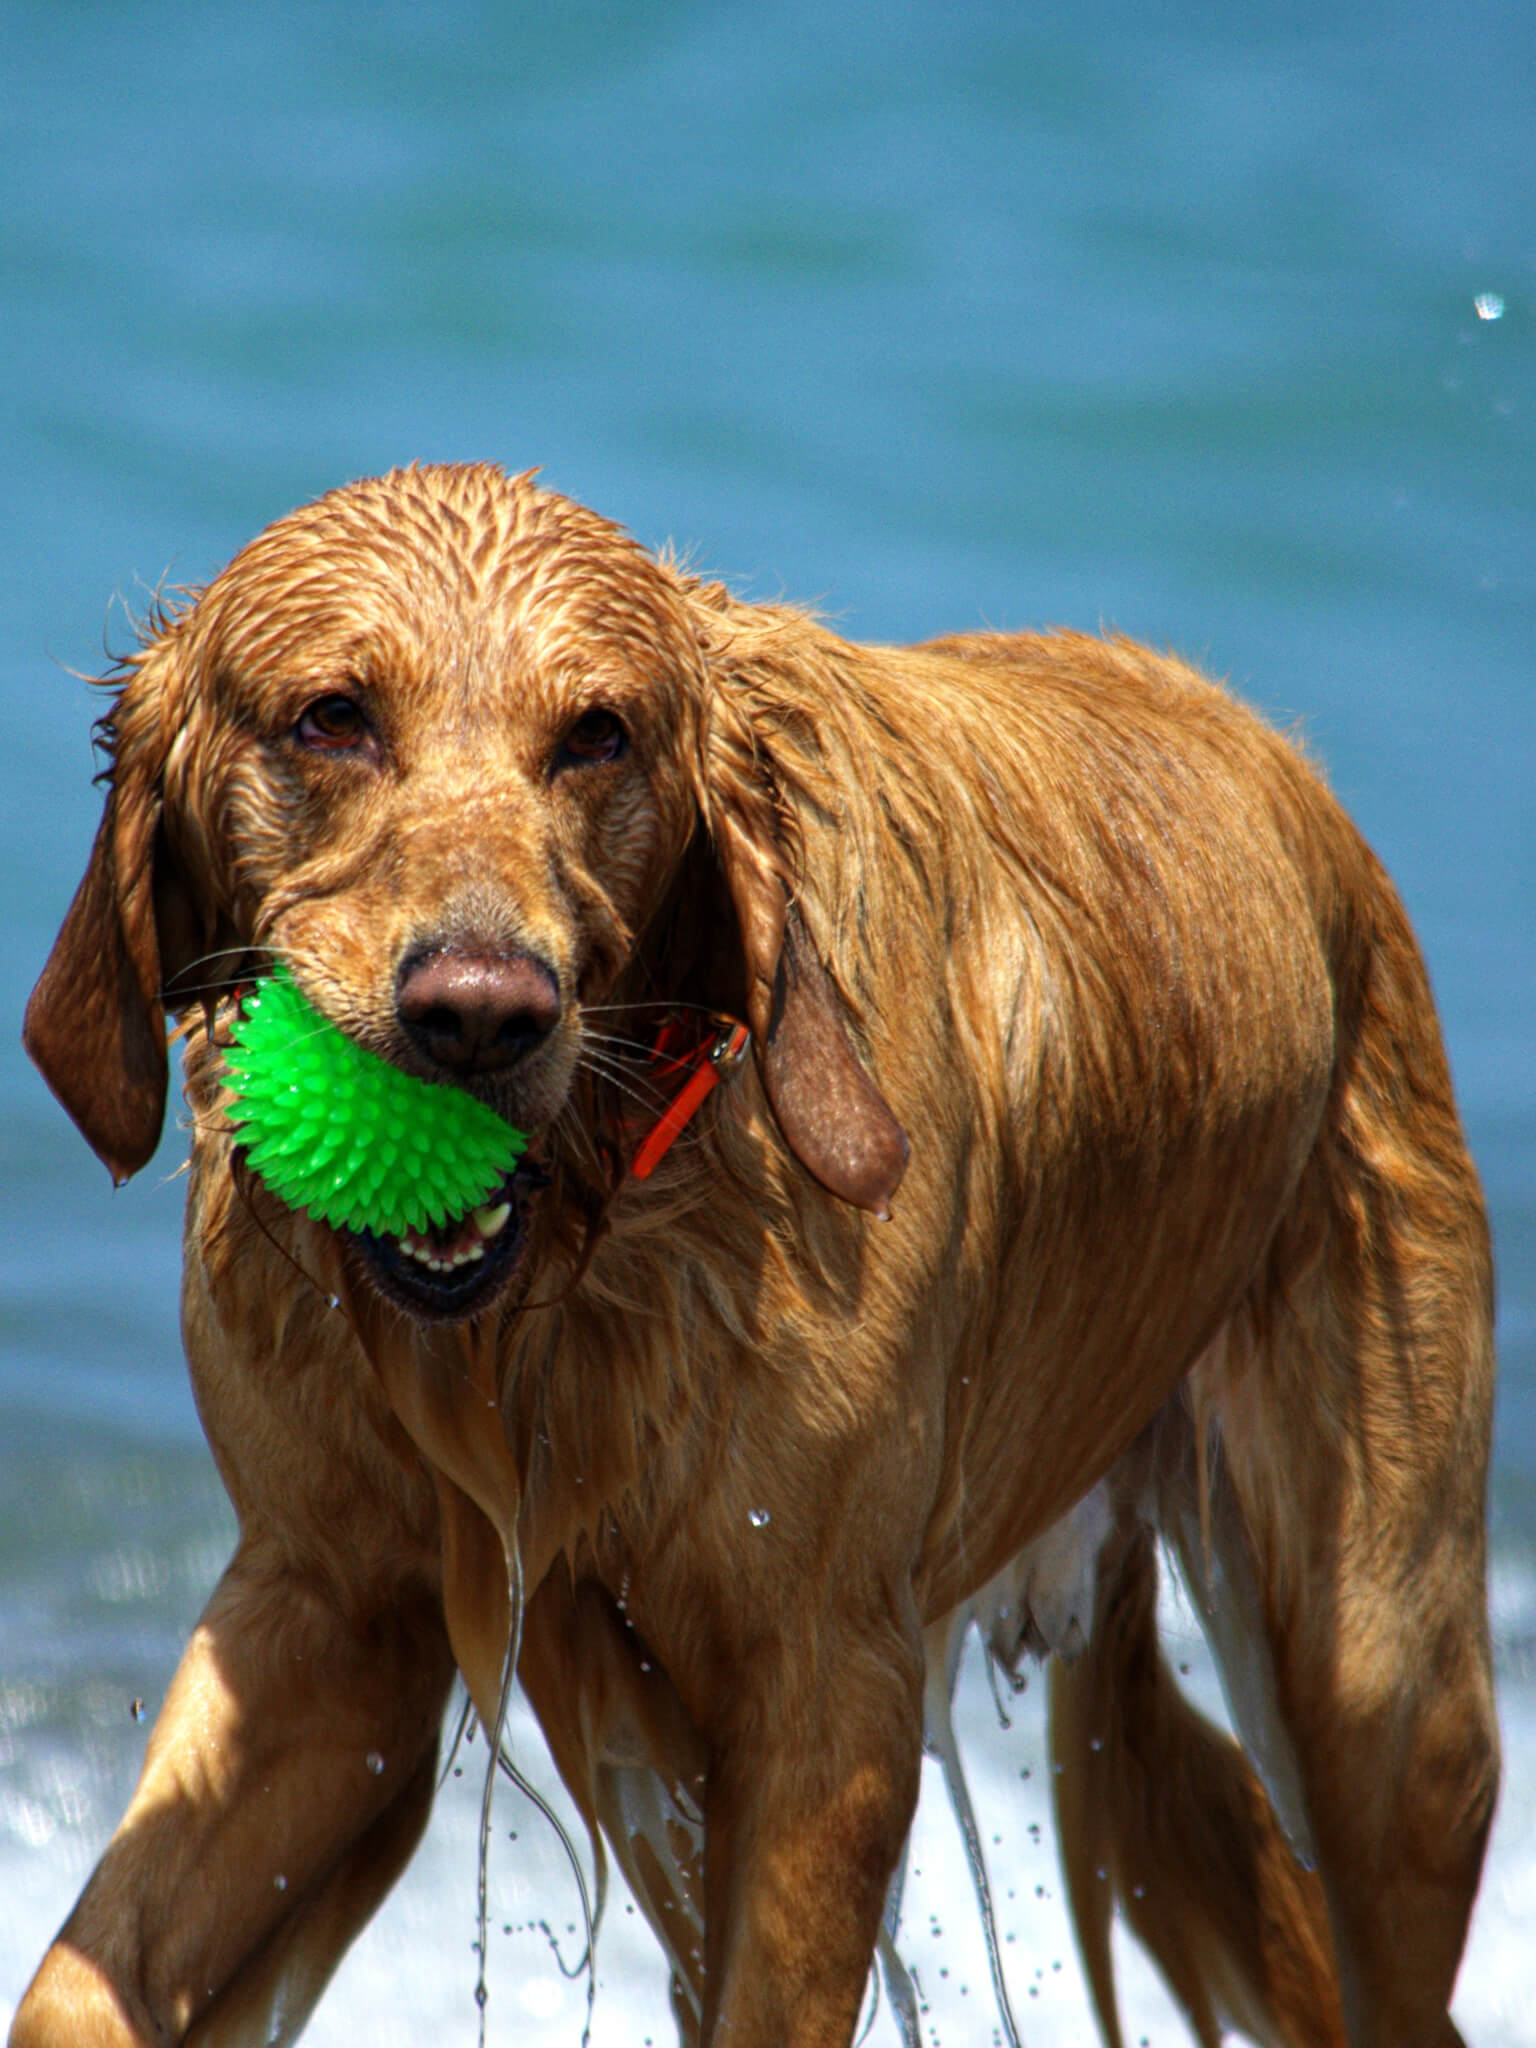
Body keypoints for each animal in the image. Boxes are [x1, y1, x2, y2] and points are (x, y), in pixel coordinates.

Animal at [15, 468, 1507, 2048]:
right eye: (332, 717)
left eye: (597, 735)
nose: (480, 1012)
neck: (584, 1270)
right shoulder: (326, 1615)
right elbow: (85, 1980)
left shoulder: (828, 1690)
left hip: (1388, 1677)